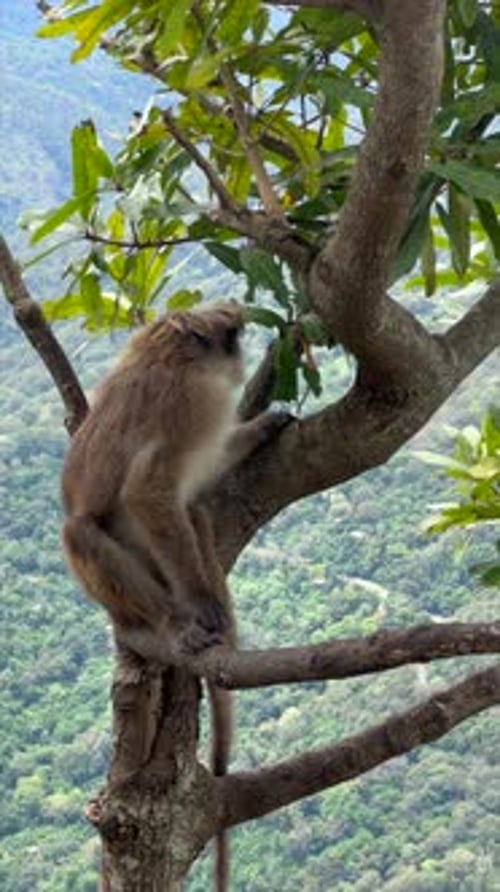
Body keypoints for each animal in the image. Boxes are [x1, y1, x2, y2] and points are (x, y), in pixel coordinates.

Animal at [60, 302, 290, 891]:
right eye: (233, 334)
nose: (243, 357)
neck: (168, 351)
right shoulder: (194, 401)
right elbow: (147, 489)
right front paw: (201, 611)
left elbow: (197, 478)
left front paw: (263, 424)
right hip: (120, 579)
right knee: (83, 530)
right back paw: (173, 621)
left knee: (195, 512)